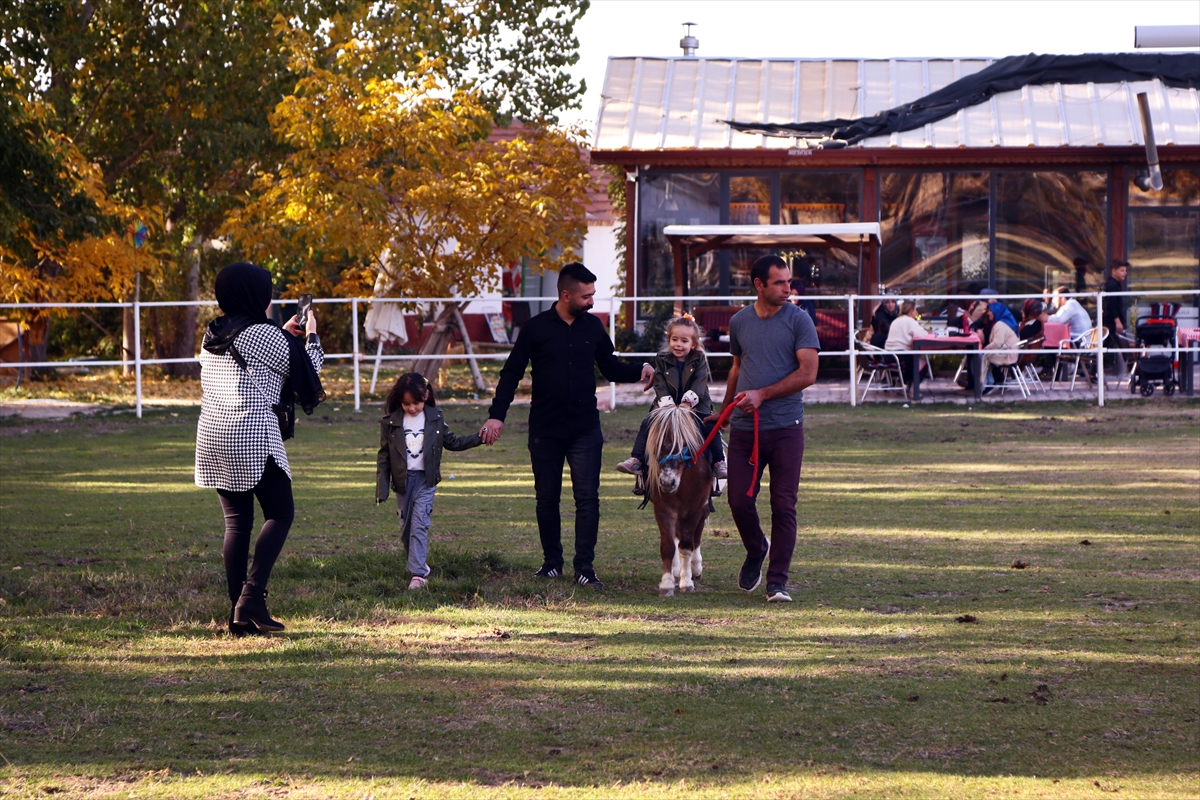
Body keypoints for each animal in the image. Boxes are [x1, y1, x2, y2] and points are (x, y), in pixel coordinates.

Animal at [648, 402, 710, 597]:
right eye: (657, 444)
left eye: (683, 444)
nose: (668, 482)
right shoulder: (663, 508)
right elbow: (668, 546)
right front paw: (667, 584)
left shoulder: (694, 508)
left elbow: (687, 545)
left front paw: (687, 582)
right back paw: (676, 571)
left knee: (696, 536)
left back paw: (695, 569)